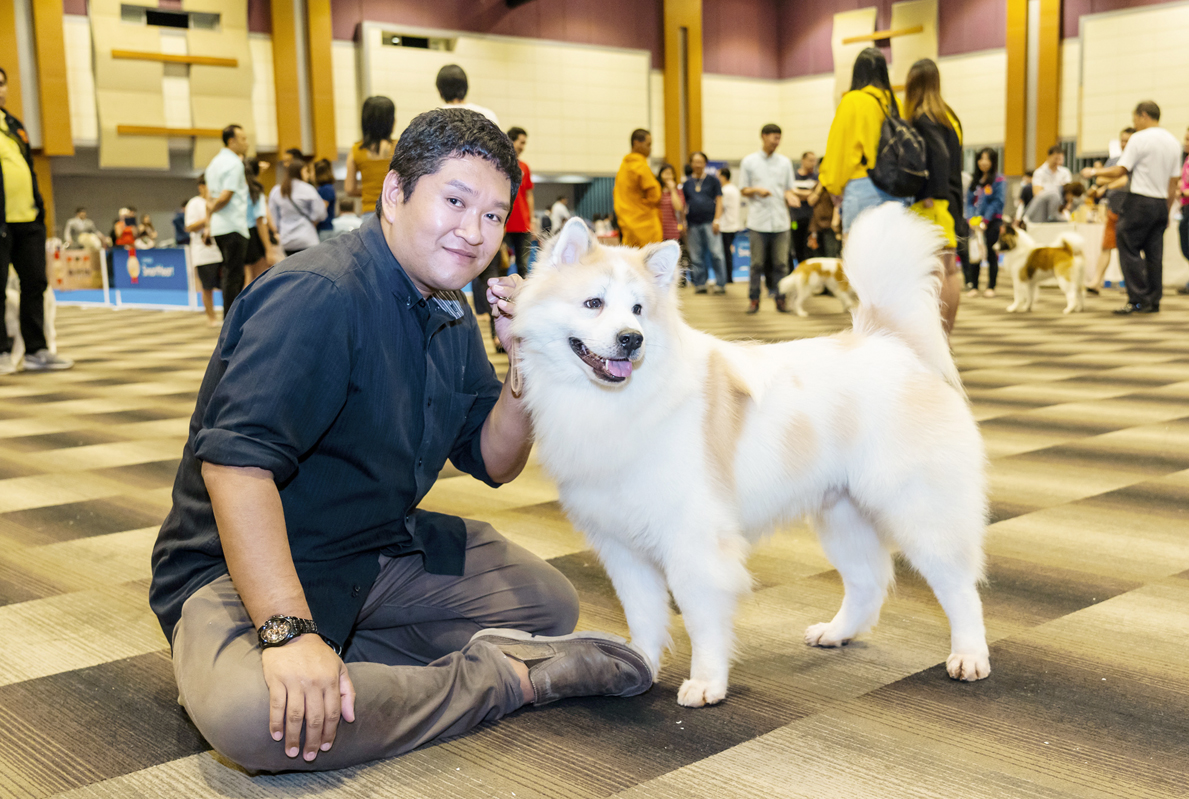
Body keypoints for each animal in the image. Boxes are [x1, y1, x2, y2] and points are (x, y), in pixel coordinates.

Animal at [506, 204, 989, 703]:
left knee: (959, 589)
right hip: (842, 516)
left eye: (638, 310)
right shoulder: (622, 547)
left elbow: (701, 620)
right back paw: (836, 632)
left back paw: (969, 657)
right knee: (868, 583)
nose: (631, 338)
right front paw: (639, 666)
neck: (614, 402)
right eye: (593, 303)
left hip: (921, 511)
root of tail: (891, 342)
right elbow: (643, 616)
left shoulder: (695, 542)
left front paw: (706, 683)